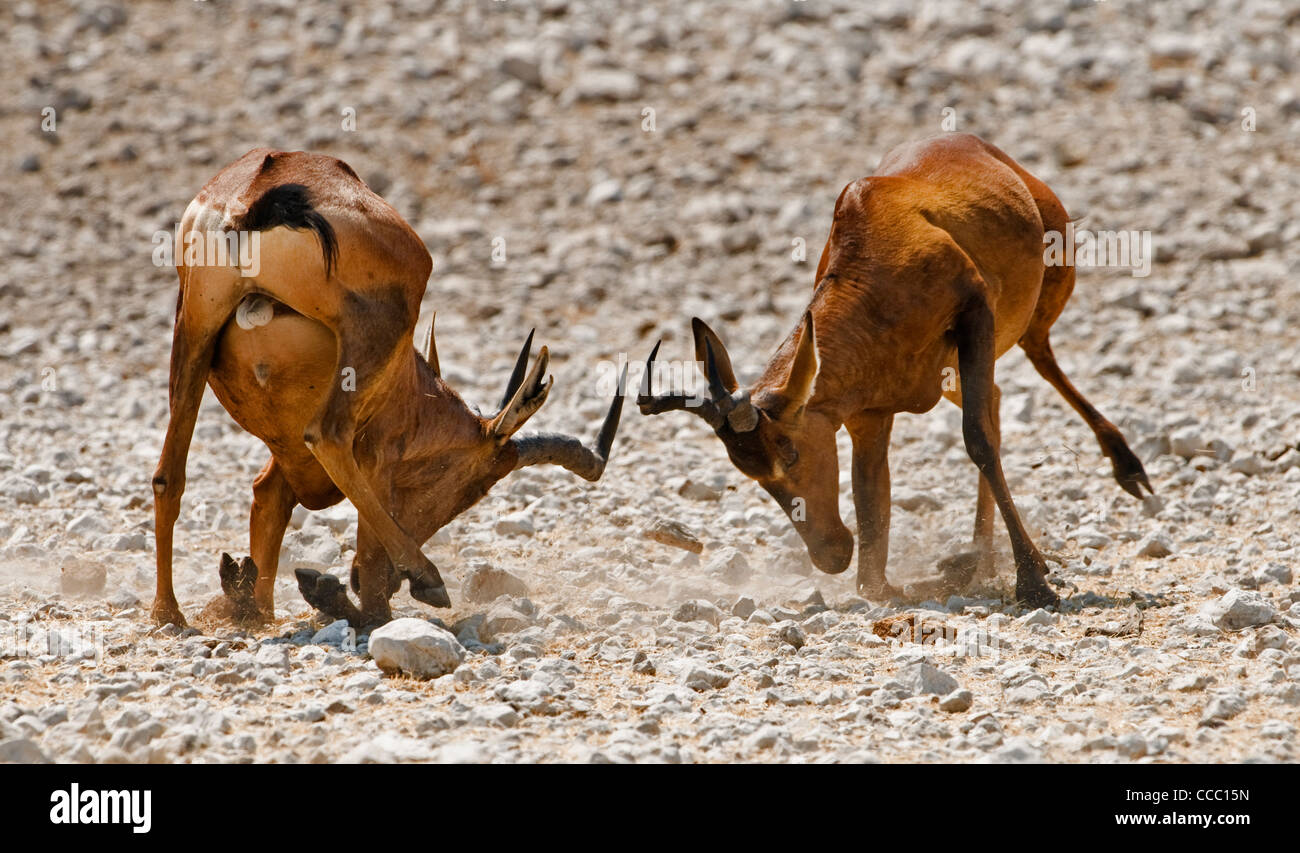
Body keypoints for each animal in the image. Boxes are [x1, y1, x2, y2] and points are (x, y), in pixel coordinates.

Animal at [154, 148, 626, 626]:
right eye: (473, 487)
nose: (398, 581)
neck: (410, 386)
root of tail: (263, 185)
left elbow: (268, 500)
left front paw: (252, 600)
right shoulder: (378, 454)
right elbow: (365, 551)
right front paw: (367, 597)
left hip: (194, 330)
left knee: (168, 476)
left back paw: (169, 611)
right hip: (369, 336)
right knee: (326, 436)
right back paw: (426, 578)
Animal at [634, 131, 1154, 605]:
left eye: (791, 454)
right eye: (749, 472)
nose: (830, 556)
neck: (874, 237)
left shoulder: (975, 314)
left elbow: (978, 441)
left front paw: (1033, 582)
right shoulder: (865, 415)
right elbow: (870, 495)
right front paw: (883, 582)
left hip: (1028, 316)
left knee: (1039, 363)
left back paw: (1128, 471)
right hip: (957, 372)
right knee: (997, 399)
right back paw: (979, 561)